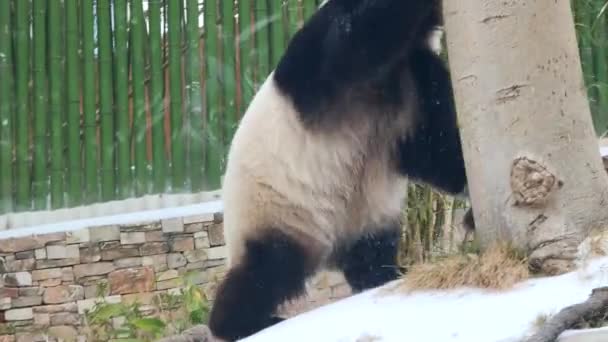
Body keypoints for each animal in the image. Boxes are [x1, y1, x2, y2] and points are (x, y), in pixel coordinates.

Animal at [209, 1, 476, 340]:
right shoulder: (328, 66)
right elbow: (360, 38)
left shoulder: (410, 87)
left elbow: (433, 149)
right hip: (274, 211)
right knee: (267, 268)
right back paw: (243, 323)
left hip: (364, 216)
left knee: (370, 253)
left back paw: (386, 275)